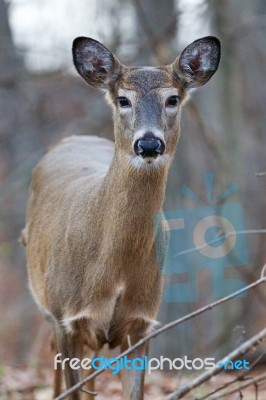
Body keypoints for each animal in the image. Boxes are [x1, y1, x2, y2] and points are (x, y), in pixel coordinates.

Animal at [21, 36, 220, 398]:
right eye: (123, 99)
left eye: (172, 98)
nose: (149, 143)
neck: (113, 271)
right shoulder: (65, 318)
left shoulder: (141, 323)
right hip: (47, 309)